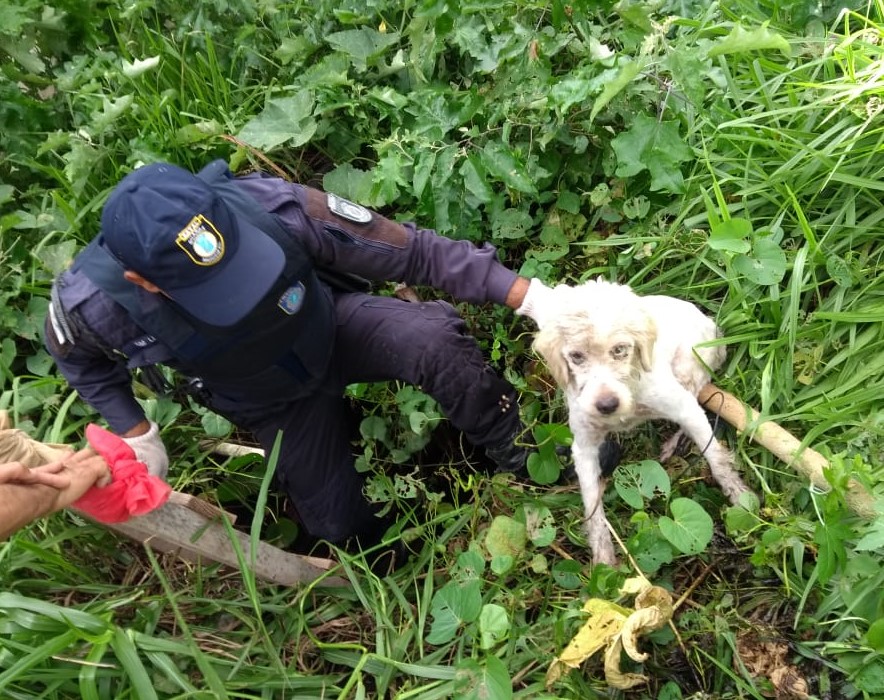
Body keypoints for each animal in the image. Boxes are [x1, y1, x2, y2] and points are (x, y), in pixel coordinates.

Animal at [516, 278, 752, 564]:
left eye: (620, 350)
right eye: (576, 356)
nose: (606, 405)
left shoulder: (683, 407)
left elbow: (717, 458)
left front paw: (740, 498)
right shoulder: (584, 448)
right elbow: (593, 509)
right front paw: (604, 560)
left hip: (691, 365)